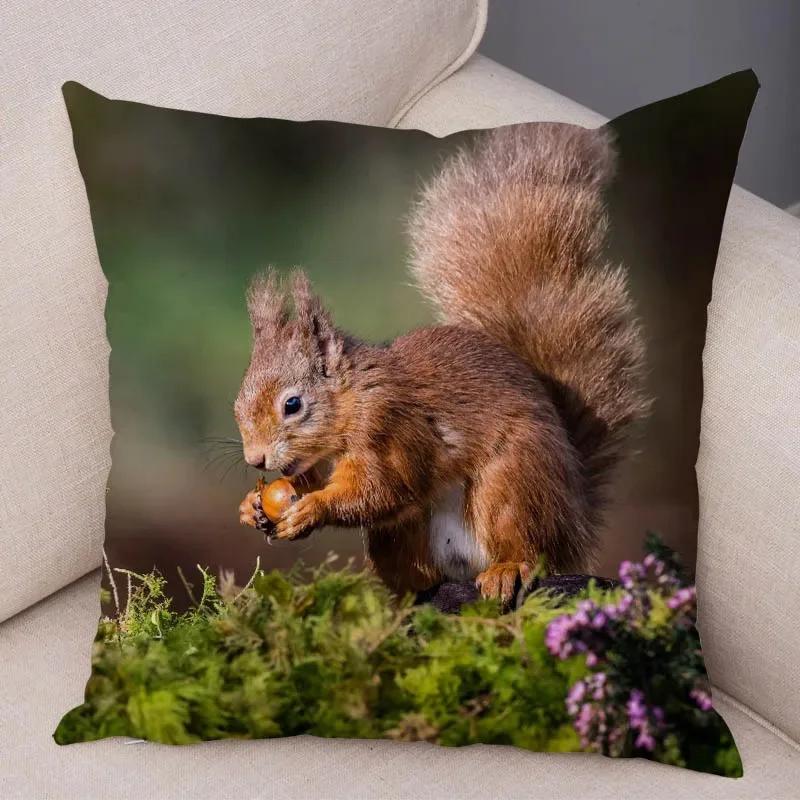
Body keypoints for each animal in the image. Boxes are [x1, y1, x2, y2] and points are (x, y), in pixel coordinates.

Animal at [235, 123, 648, 602]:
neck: (354, 398)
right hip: (406, 537)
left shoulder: (393, 426)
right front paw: (251, 506)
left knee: (527, 545)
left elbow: (382, 487)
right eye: (237, 405)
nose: (256, 460)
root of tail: (573, 521)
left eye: (293, 405)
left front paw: (314, 508)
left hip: (514, 483)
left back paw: (509, 568)